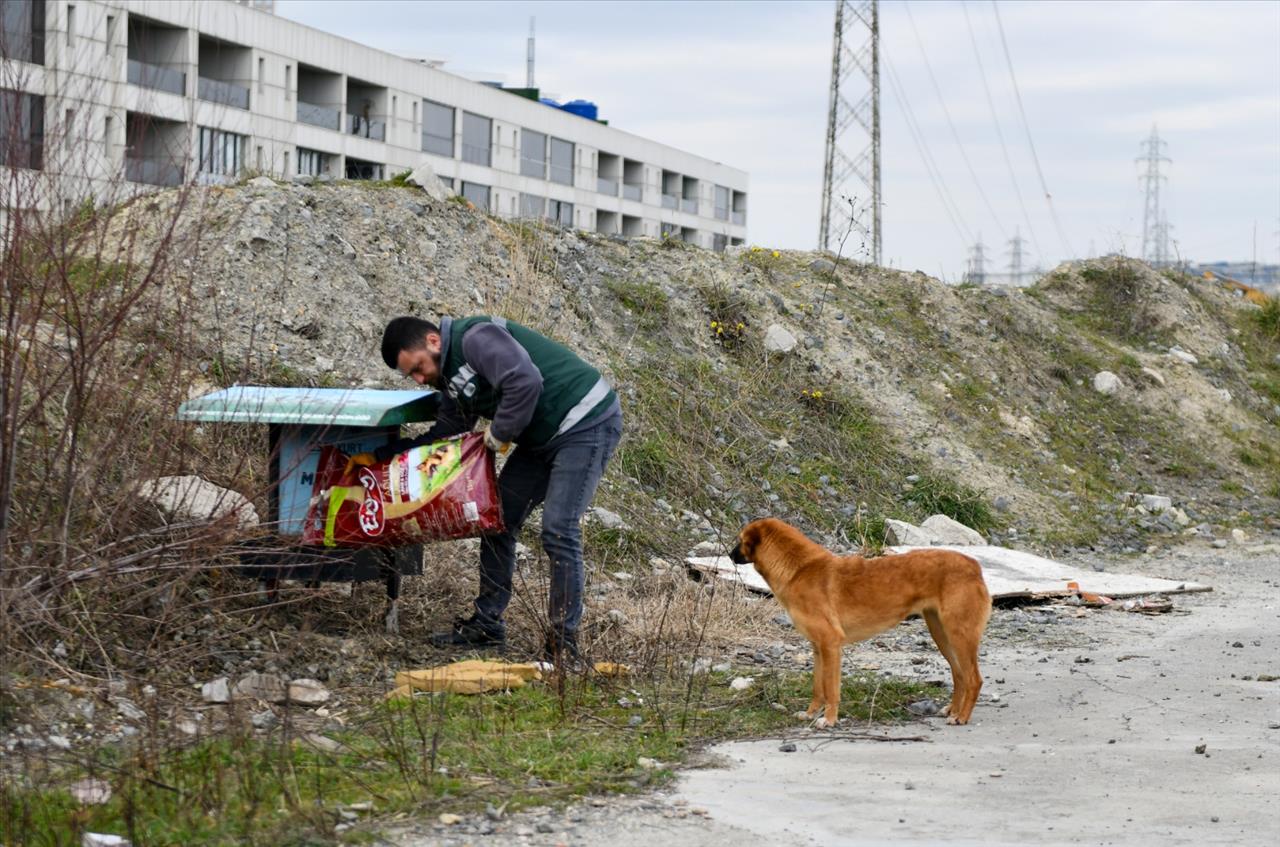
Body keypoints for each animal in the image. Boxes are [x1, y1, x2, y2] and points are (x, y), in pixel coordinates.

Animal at [732, 522, 988, 726]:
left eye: (740, 540)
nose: (729, 554)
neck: (799, 570)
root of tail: (974, 565)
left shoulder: (831, 644)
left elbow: (831, 689)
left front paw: (829, 720)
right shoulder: (818, 648)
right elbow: (817, 688)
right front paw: (811, 713)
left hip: (959, 635)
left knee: (974, 679)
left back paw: (961, 717)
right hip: (941, 634)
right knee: (959, 675)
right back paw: (953, 710)